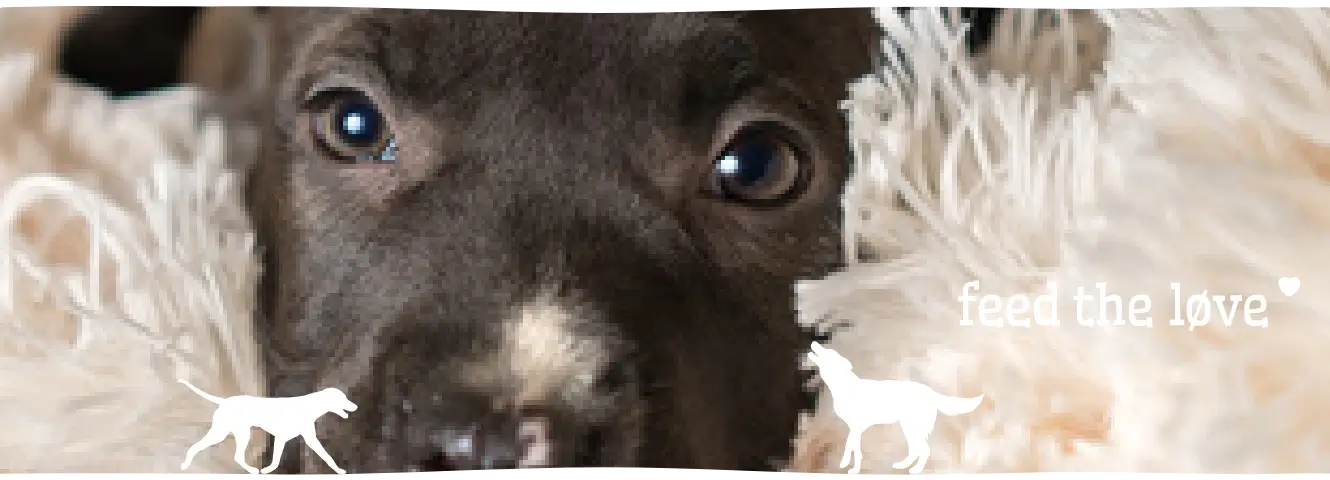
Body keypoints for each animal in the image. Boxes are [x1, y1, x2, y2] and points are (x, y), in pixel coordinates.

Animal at [177, 379, 359, 475]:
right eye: (343, 399)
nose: (355, 407)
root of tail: (225, 401)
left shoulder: (309, 440)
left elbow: (326, 456)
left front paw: (338, 469)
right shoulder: (281, 438)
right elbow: (276, 459)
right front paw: (268, 470)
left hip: (237, 433)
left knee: (236, 456)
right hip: (224, 433)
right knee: (195, 447)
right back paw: (185, 466)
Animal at [806, 342, 983, 475]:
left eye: (828, 352)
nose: (814, 342)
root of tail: (931, 392)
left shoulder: (856, 428)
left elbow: (856, 451)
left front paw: (853, 469)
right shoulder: (853, 429)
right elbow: (850, 447)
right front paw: (844, 464)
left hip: (913, 428)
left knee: (924, 450)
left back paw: (914, 469)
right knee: (916, 450)